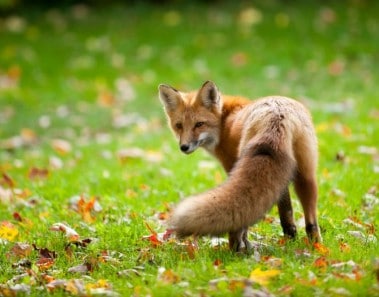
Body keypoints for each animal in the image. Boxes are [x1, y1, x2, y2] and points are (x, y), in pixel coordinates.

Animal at [157, 80, 320, 250]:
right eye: (179, 125)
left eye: (199, 124)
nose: (184, 147)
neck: (224, 122)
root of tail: (278, 114)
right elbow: (286, 209)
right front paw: (290, 236)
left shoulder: (231, 166)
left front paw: (244, 244)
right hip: (306, 174)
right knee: (311, 221)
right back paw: (316, 246)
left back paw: (234, 247)